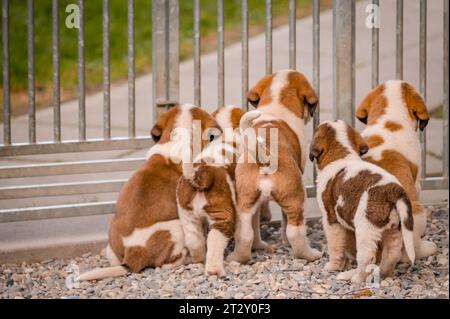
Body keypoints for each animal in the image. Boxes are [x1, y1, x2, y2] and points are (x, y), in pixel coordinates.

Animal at [178, 105, 244, 278]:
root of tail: (201, 175)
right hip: (224, 216)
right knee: (215, 241)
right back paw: (215, 270)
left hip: (187, 214)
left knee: (194, 239)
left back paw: (199, 259)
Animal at [229, 69, 320, 264]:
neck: (277, 102)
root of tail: (265, 156)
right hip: (295, 197)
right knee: (294, 231)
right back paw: (309, 254)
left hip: (245, 200)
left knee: (245, 233)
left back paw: (239, 256)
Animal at [312, 120, 416, 284]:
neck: (341, 155)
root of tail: (392, 190)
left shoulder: (330, 220)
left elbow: (335, 246)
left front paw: (332, 266)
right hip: (395, 228)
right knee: (392, 254)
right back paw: (384, 274)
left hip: (366, 228)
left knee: (367, 257)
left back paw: (355, 278)